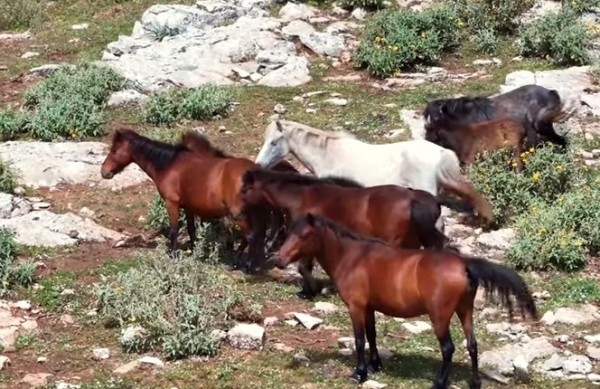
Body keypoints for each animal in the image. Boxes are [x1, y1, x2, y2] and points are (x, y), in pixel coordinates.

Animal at [100, 128, 268, 272]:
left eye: (114, 150)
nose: (104, 172)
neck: (169, 165)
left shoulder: (172, 204)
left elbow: (174, 230)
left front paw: (172, 255)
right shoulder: (188, 207)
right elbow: (191, 229)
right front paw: (194, 251)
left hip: (239, 214)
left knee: (252, 236)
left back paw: (245, 265)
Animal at [241, 168, 448, 298]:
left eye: (244, 189)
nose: (238, 212)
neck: (302, 197)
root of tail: (414, 198)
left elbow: (303, 267)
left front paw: (310, 291)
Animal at [276, 214, 540, 386]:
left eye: (303, 235)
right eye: (289, 232)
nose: (279, 259)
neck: (353, 257)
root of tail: (464, 265)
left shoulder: (356, 307)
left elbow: (360, 340)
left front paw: (359, 373)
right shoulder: (369, 308)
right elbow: (372, 336)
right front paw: (375, 365)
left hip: (440, 316)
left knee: (448, 348)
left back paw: (439, 382)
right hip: (465, 311)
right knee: (472, 345)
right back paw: (474, 382)